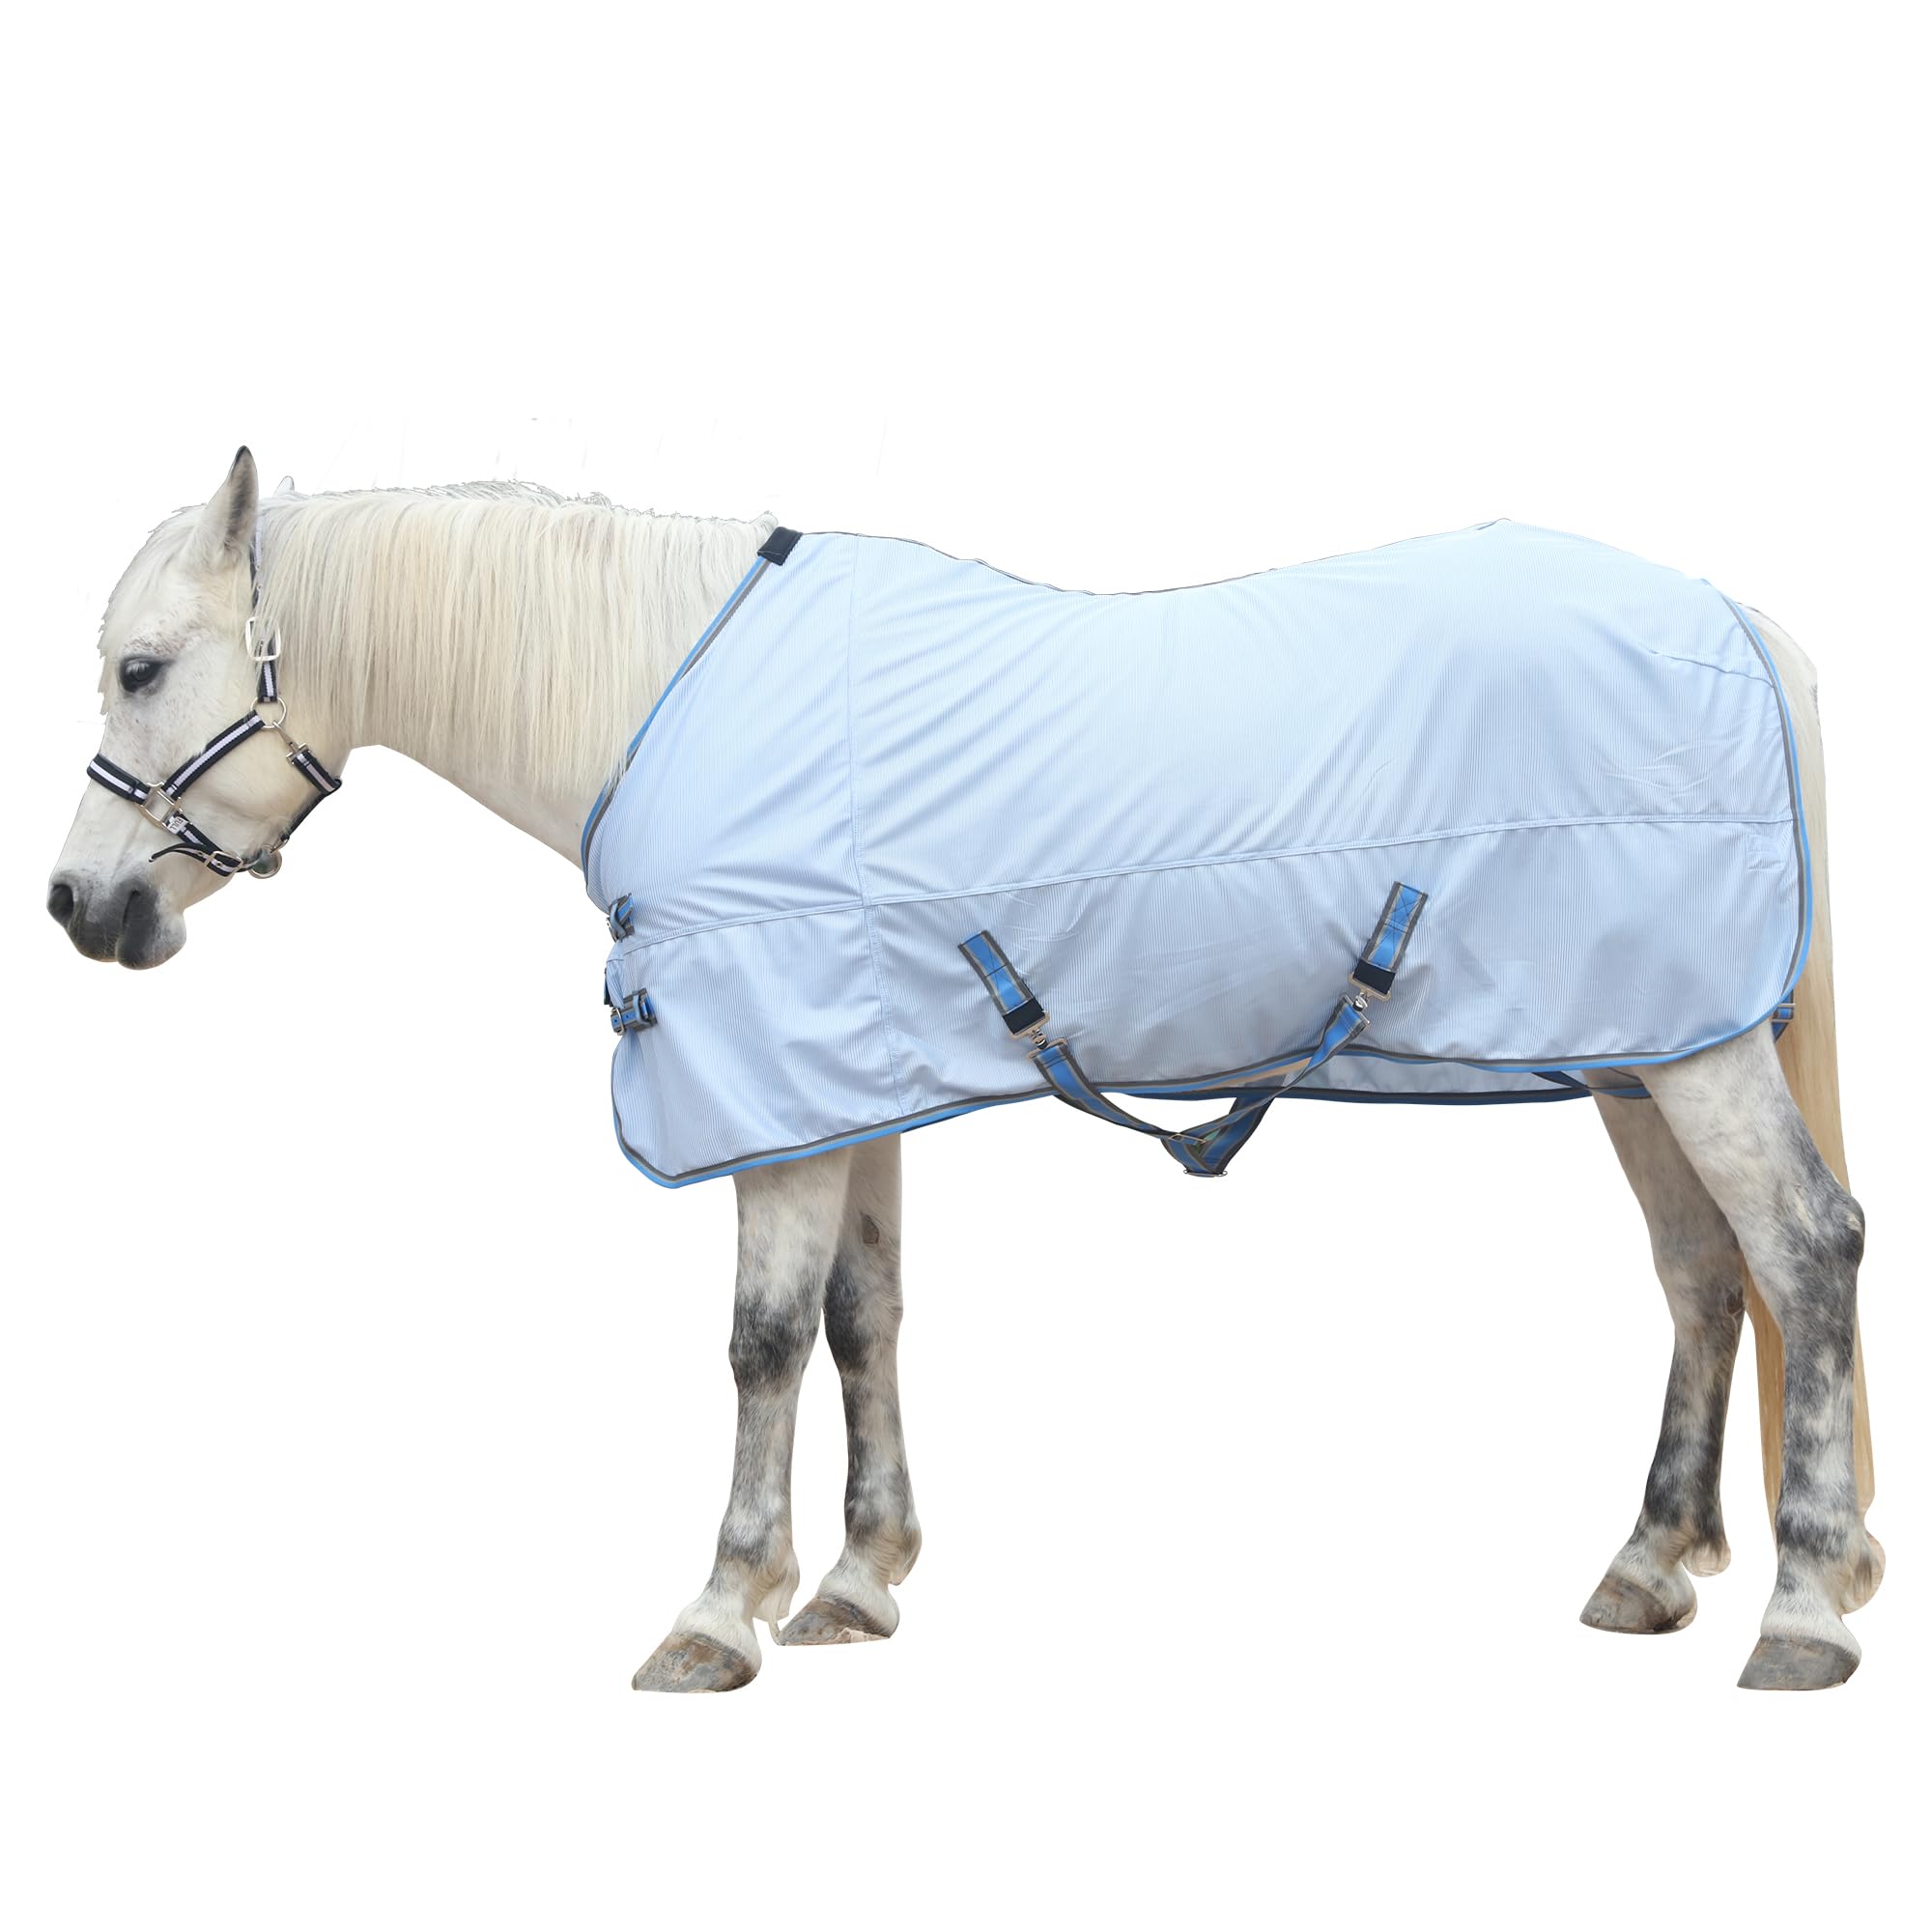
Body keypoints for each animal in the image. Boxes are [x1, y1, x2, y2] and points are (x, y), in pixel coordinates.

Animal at [46, 449, 1882, 1692]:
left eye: (141, 668)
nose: (79, 908)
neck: (661, 696)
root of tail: (1731, 617)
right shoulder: (845, 1076)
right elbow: (863, 1317)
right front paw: (857, 1585)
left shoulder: (772, 1089)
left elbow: (762, 1340)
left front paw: (719, 1611)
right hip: (1644, 1049)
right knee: (1705, 1272)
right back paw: (1649, 1569)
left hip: (1699, 1054)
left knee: (1805, 1250)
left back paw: (1800, 1608)